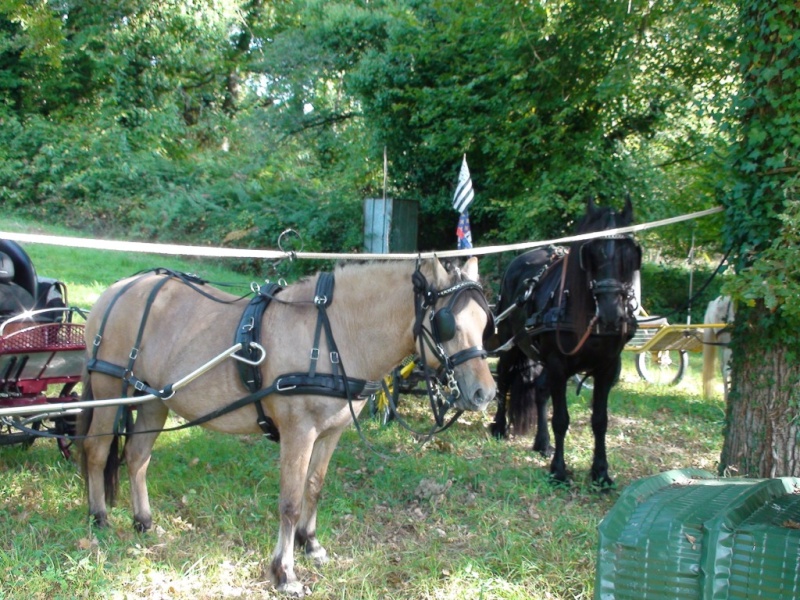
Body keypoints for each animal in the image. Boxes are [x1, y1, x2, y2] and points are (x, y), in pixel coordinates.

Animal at [490, 197, 640, 488]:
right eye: (590, 253)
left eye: (630, 254)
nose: (611, 316)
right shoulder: (559, 365)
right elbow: (561, 419)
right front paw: (558, 470)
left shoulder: (607, 368)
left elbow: (600, 421)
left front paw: (601, 473)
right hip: (511, 345)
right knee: (503, 380)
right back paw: (499, 426)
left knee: (539, 389)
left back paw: (542, 442)